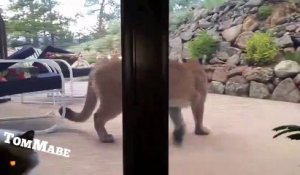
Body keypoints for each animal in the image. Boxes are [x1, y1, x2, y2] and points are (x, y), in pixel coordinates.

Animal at [58, 59, 209, 144]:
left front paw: (179, 134)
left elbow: (178, 119)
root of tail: (98, 66)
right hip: (114, 102)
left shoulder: (173, 105)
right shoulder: (198, 100)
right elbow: (199, 117)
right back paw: (105, 138)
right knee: (98, 116)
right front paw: (201, 131)